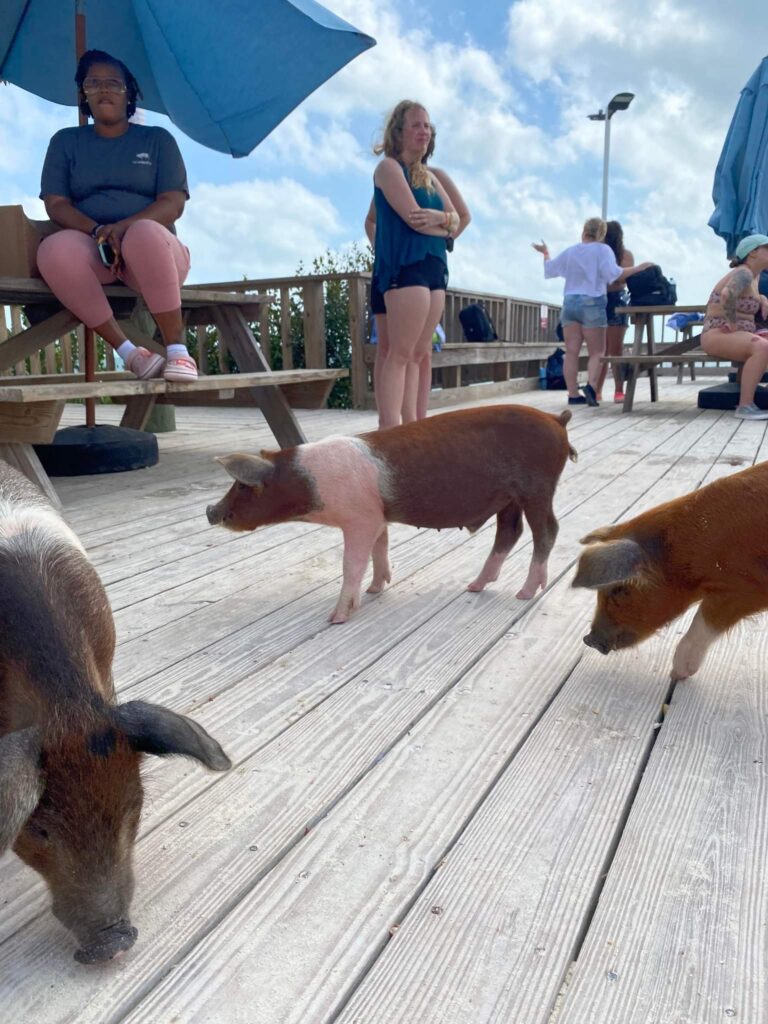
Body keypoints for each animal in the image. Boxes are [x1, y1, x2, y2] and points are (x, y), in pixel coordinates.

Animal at [206, 404, 576, 623]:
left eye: (241, 486)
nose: (210, 511)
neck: (307, 481)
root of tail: (556, 420)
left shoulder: (360, 518)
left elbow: (352, 564)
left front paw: (337, 617)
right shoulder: (376, 516)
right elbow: (379, 548)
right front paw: (376, 589)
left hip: (537, 489)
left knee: (547, 531)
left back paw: (524, 592)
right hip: (509, 498)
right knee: (510, 533)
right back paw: (474, 586)